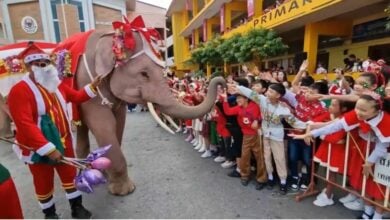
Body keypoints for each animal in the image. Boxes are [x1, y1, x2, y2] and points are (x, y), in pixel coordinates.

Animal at [65, 19, 225, 194]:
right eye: (144, 74)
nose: (220, 80)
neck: (108, 37)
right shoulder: (84, 81)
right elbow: (104, 125)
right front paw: (124, 191)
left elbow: (118, 123)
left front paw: (113, 180)